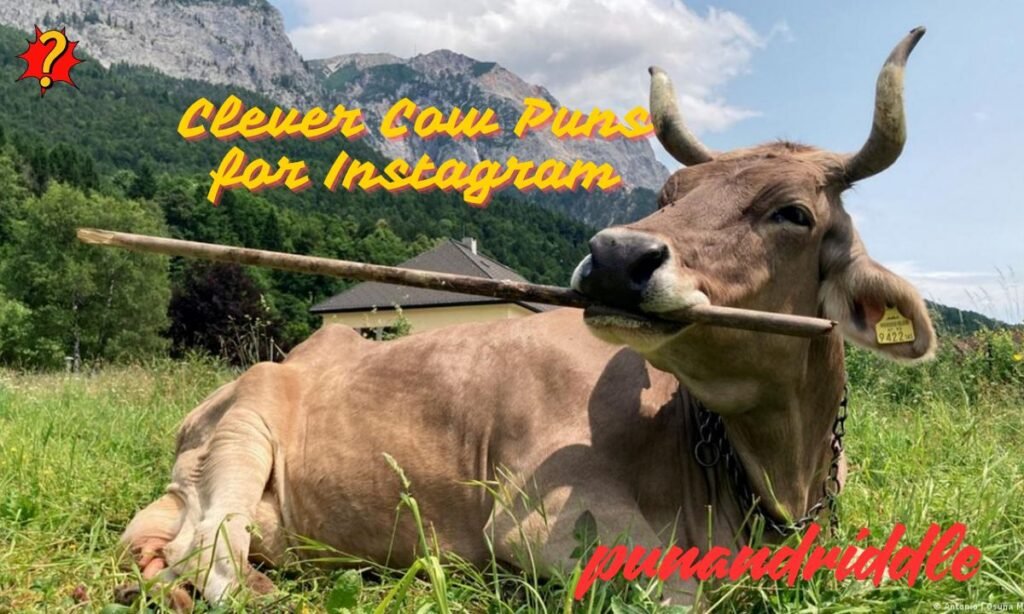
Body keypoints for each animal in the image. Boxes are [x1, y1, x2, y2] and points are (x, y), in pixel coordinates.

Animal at [118, 28, 934, 608]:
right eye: (669, 194)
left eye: (793, 213)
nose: (615, 256)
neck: (773, 471)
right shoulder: (546, 517)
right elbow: (682, 592)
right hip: (245, 427)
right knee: (209, 552)